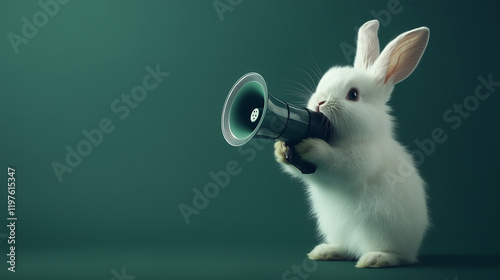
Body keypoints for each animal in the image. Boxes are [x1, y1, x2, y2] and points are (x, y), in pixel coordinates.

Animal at [276, 18, 428, 268]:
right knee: (346, 249)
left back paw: (376, 258)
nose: (320, 102)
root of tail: (414, 251)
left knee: (396, 255)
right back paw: (325, 252)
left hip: (382, 233)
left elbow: (339, 163)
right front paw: (280, 149)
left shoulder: (363, 160)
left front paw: (312, 147)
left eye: (353, 95)